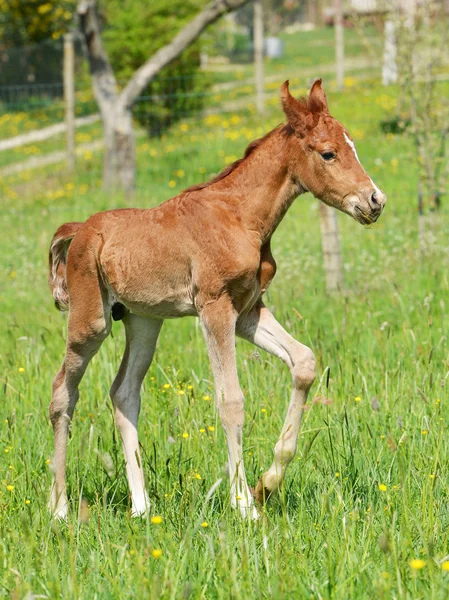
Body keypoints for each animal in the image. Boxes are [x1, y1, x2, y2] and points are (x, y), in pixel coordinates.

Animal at [49, 81, 384, 520]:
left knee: (124, 393)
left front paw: (267, 483)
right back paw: (59, 508)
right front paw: (244, 504)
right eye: (328, 153)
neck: (240, 218)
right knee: (62, 394)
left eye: (353, 146)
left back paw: (141, 507)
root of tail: (80, 229)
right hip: (91, 322)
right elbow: (231, 401)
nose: (375, 201)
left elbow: (305, 362)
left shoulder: (248, 311)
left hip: (143, 321)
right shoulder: (215, 308)